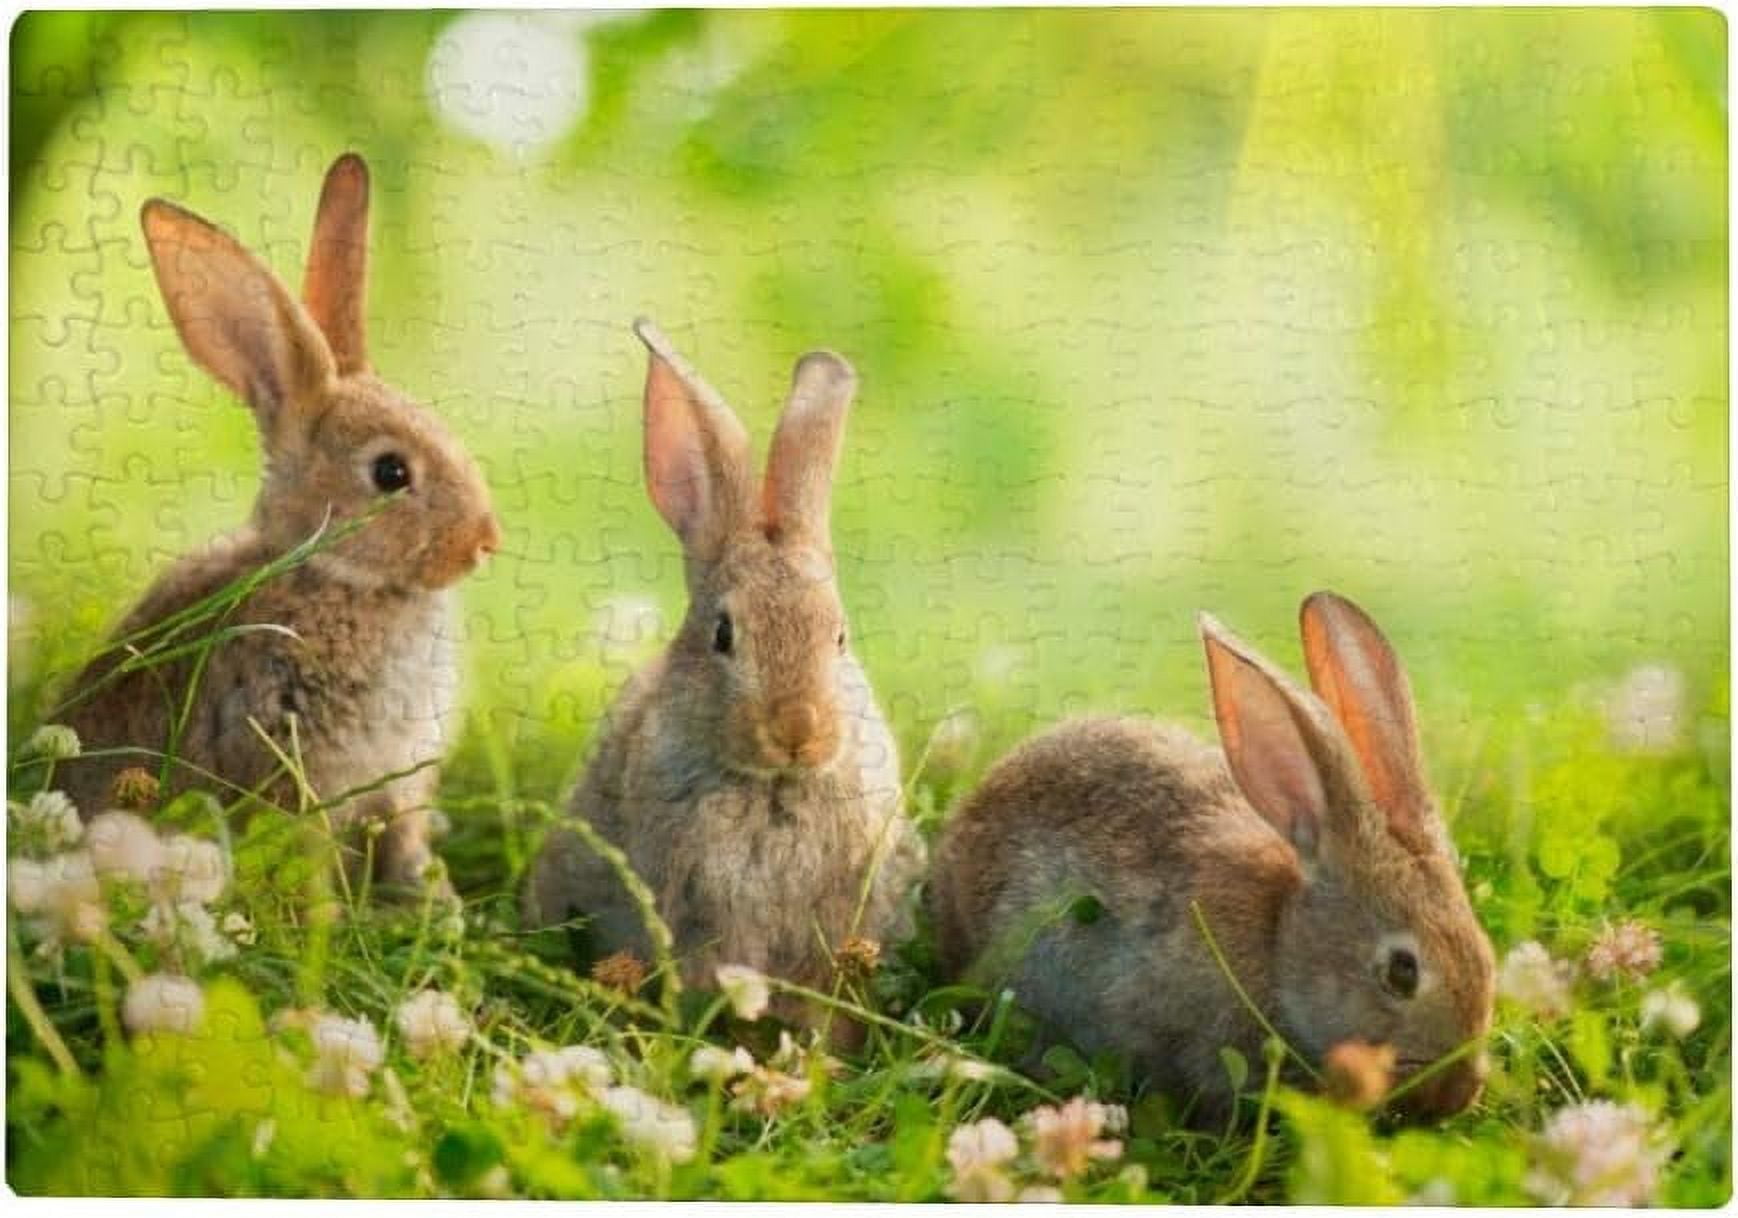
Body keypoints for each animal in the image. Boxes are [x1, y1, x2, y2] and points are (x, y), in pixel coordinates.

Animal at [52, 153, 501, 896]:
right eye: (390, 473)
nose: (484, 544)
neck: (335, 577)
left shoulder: (398, 783)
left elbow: (404, 837)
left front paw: (433, 899)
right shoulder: (289, 762)